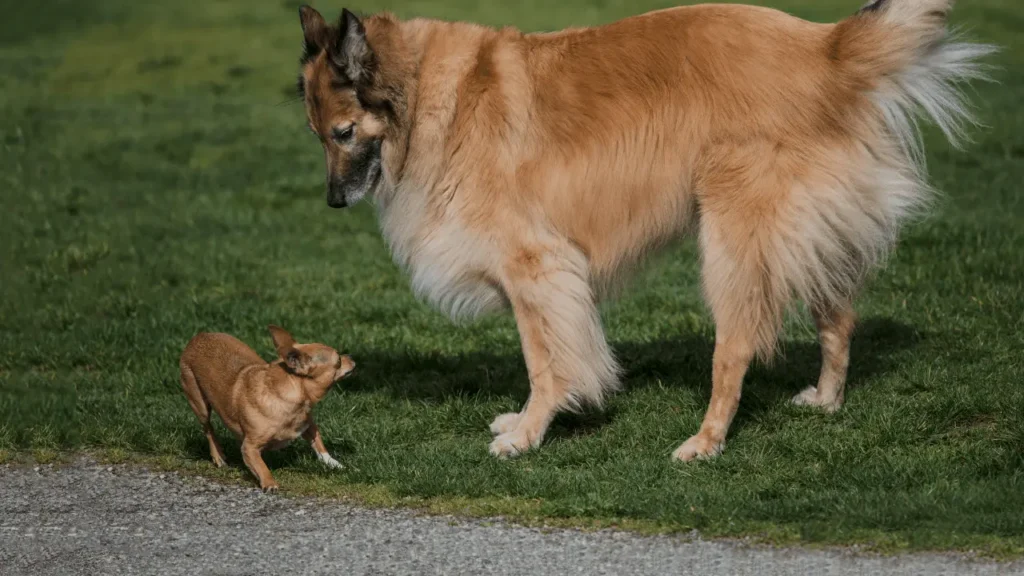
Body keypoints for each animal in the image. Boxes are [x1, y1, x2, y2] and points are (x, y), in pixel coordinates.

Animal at [182, 323, 358, 487]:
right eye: (338, 360)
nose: (351, 356)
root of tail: (199, 336)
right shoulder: (249, 448)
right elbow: (260, 465)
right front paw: (269, 483)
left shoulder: (307, 424)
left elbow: (319, 445)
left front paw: (335, 464)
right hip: (199, 404)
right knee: (208, 428)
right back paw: (218, 456)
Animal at [294, 0, 991, 457]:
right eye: (316, 135)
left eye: (343, 133)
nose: (331, 201)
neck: (430, 94)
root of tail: (828, 48)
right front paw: (524, 423)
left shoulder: (537, 268)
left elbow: (545, 361)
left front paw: (528, 433)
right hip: (806, 234)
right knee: (839, 319)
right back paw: (825, 401)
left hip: (733, 244)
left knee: (735, 351)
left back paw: (705, 442)